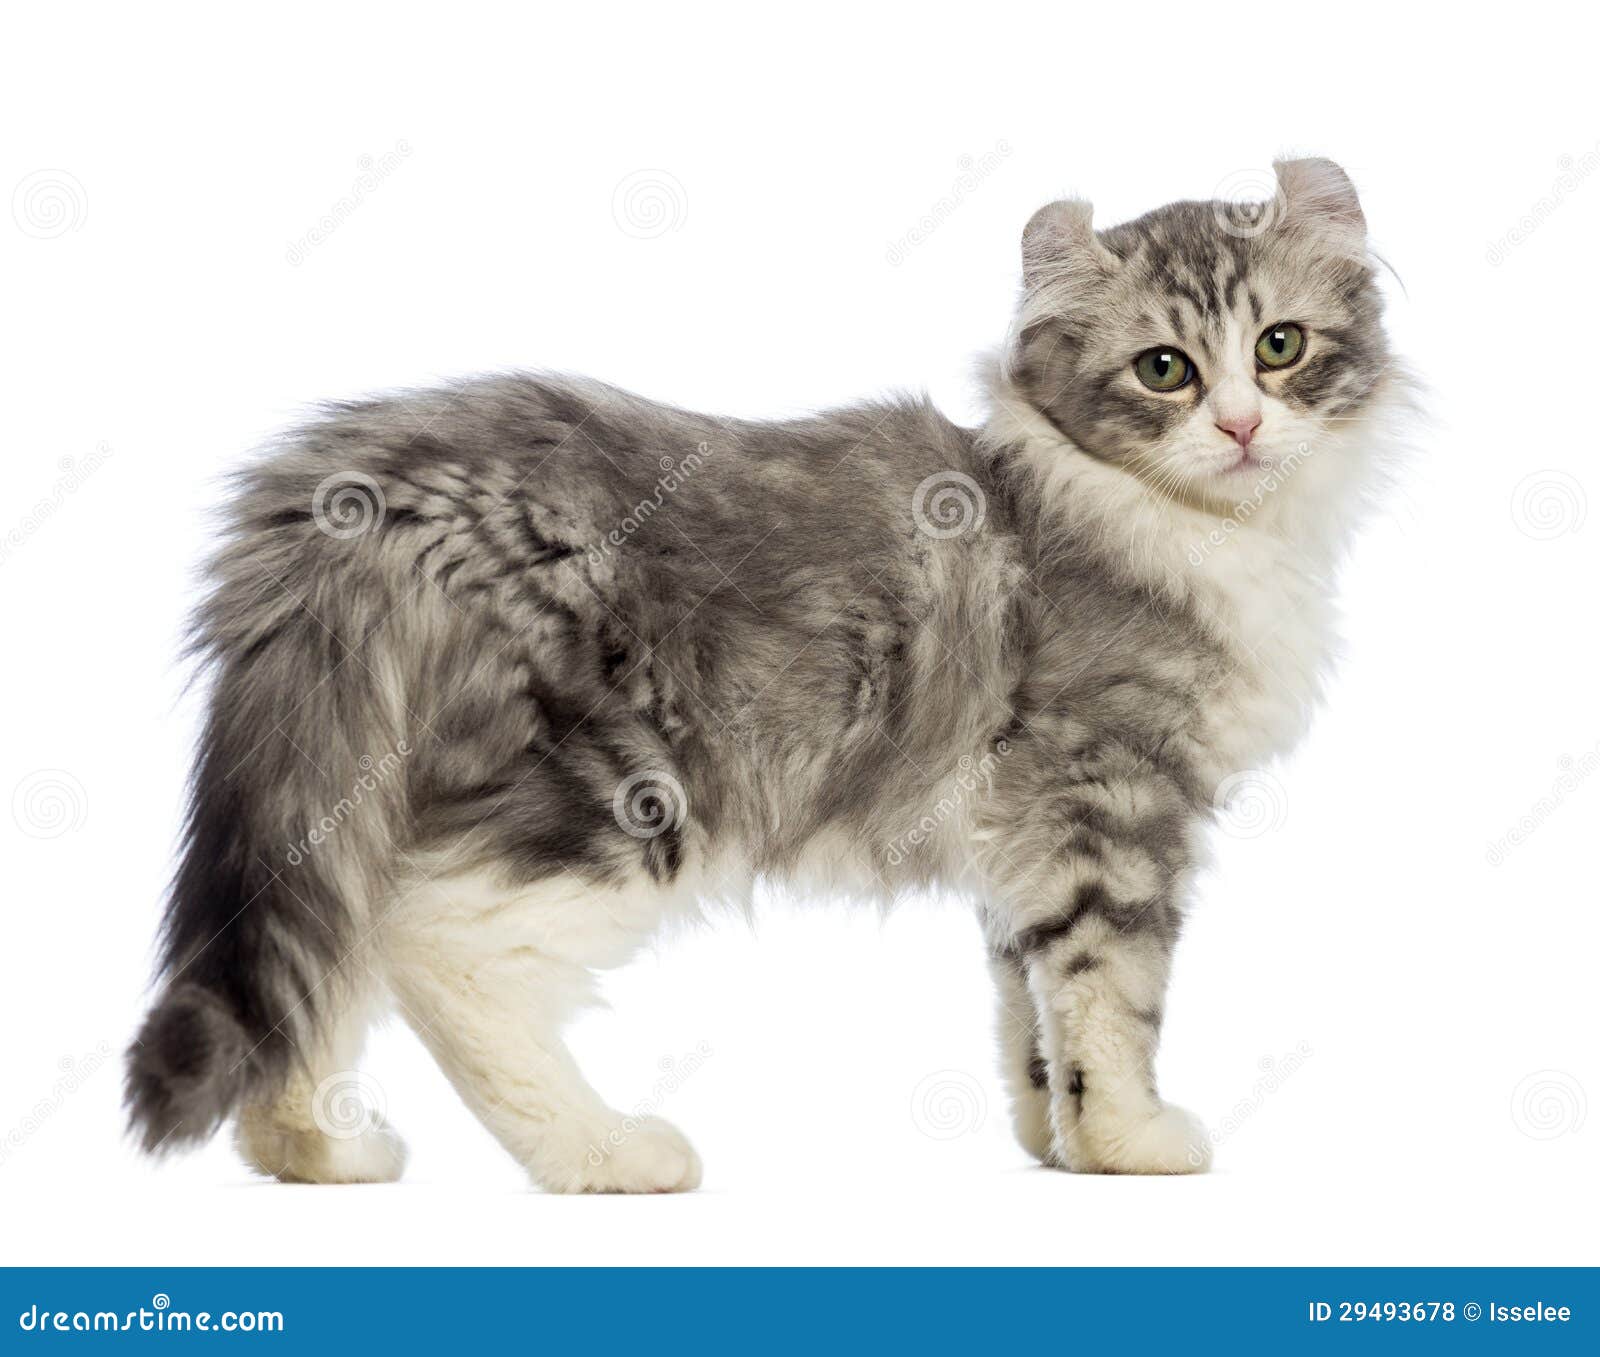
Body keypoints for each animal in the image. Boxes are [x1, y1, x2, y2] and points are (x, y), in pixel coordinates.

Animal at [124, 159, 1401, 1190]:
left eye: (1279, 347)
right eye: (1164, 369)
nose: (1239, 427)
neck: (1198, 529)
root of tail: (365, 484)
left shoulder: (1022, 840)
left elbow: (1028, 1011)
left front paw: (1056, 1145)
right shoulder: (1108, 794)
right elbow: (1111, 995)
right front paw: (1131, 1141)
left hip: (352, 787)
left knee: (316, 962)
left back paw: (316, 1154)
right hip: (626, 788)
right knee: (431, 942)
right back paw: (607, 1152)